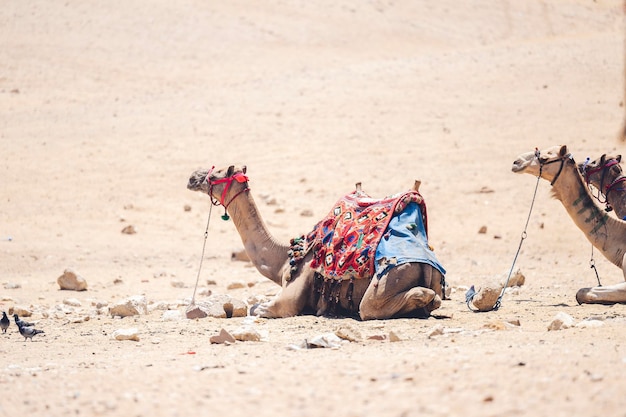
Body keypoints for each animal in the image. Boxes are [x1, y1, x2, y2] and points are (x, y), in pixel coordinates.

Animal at [185, 165, 444, 318]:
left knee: (370, 307)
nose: (192, 177)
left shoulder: (293, 291)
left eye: (215, 174)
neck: (283, 260)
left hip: (392, 276)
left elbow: (262, 307)